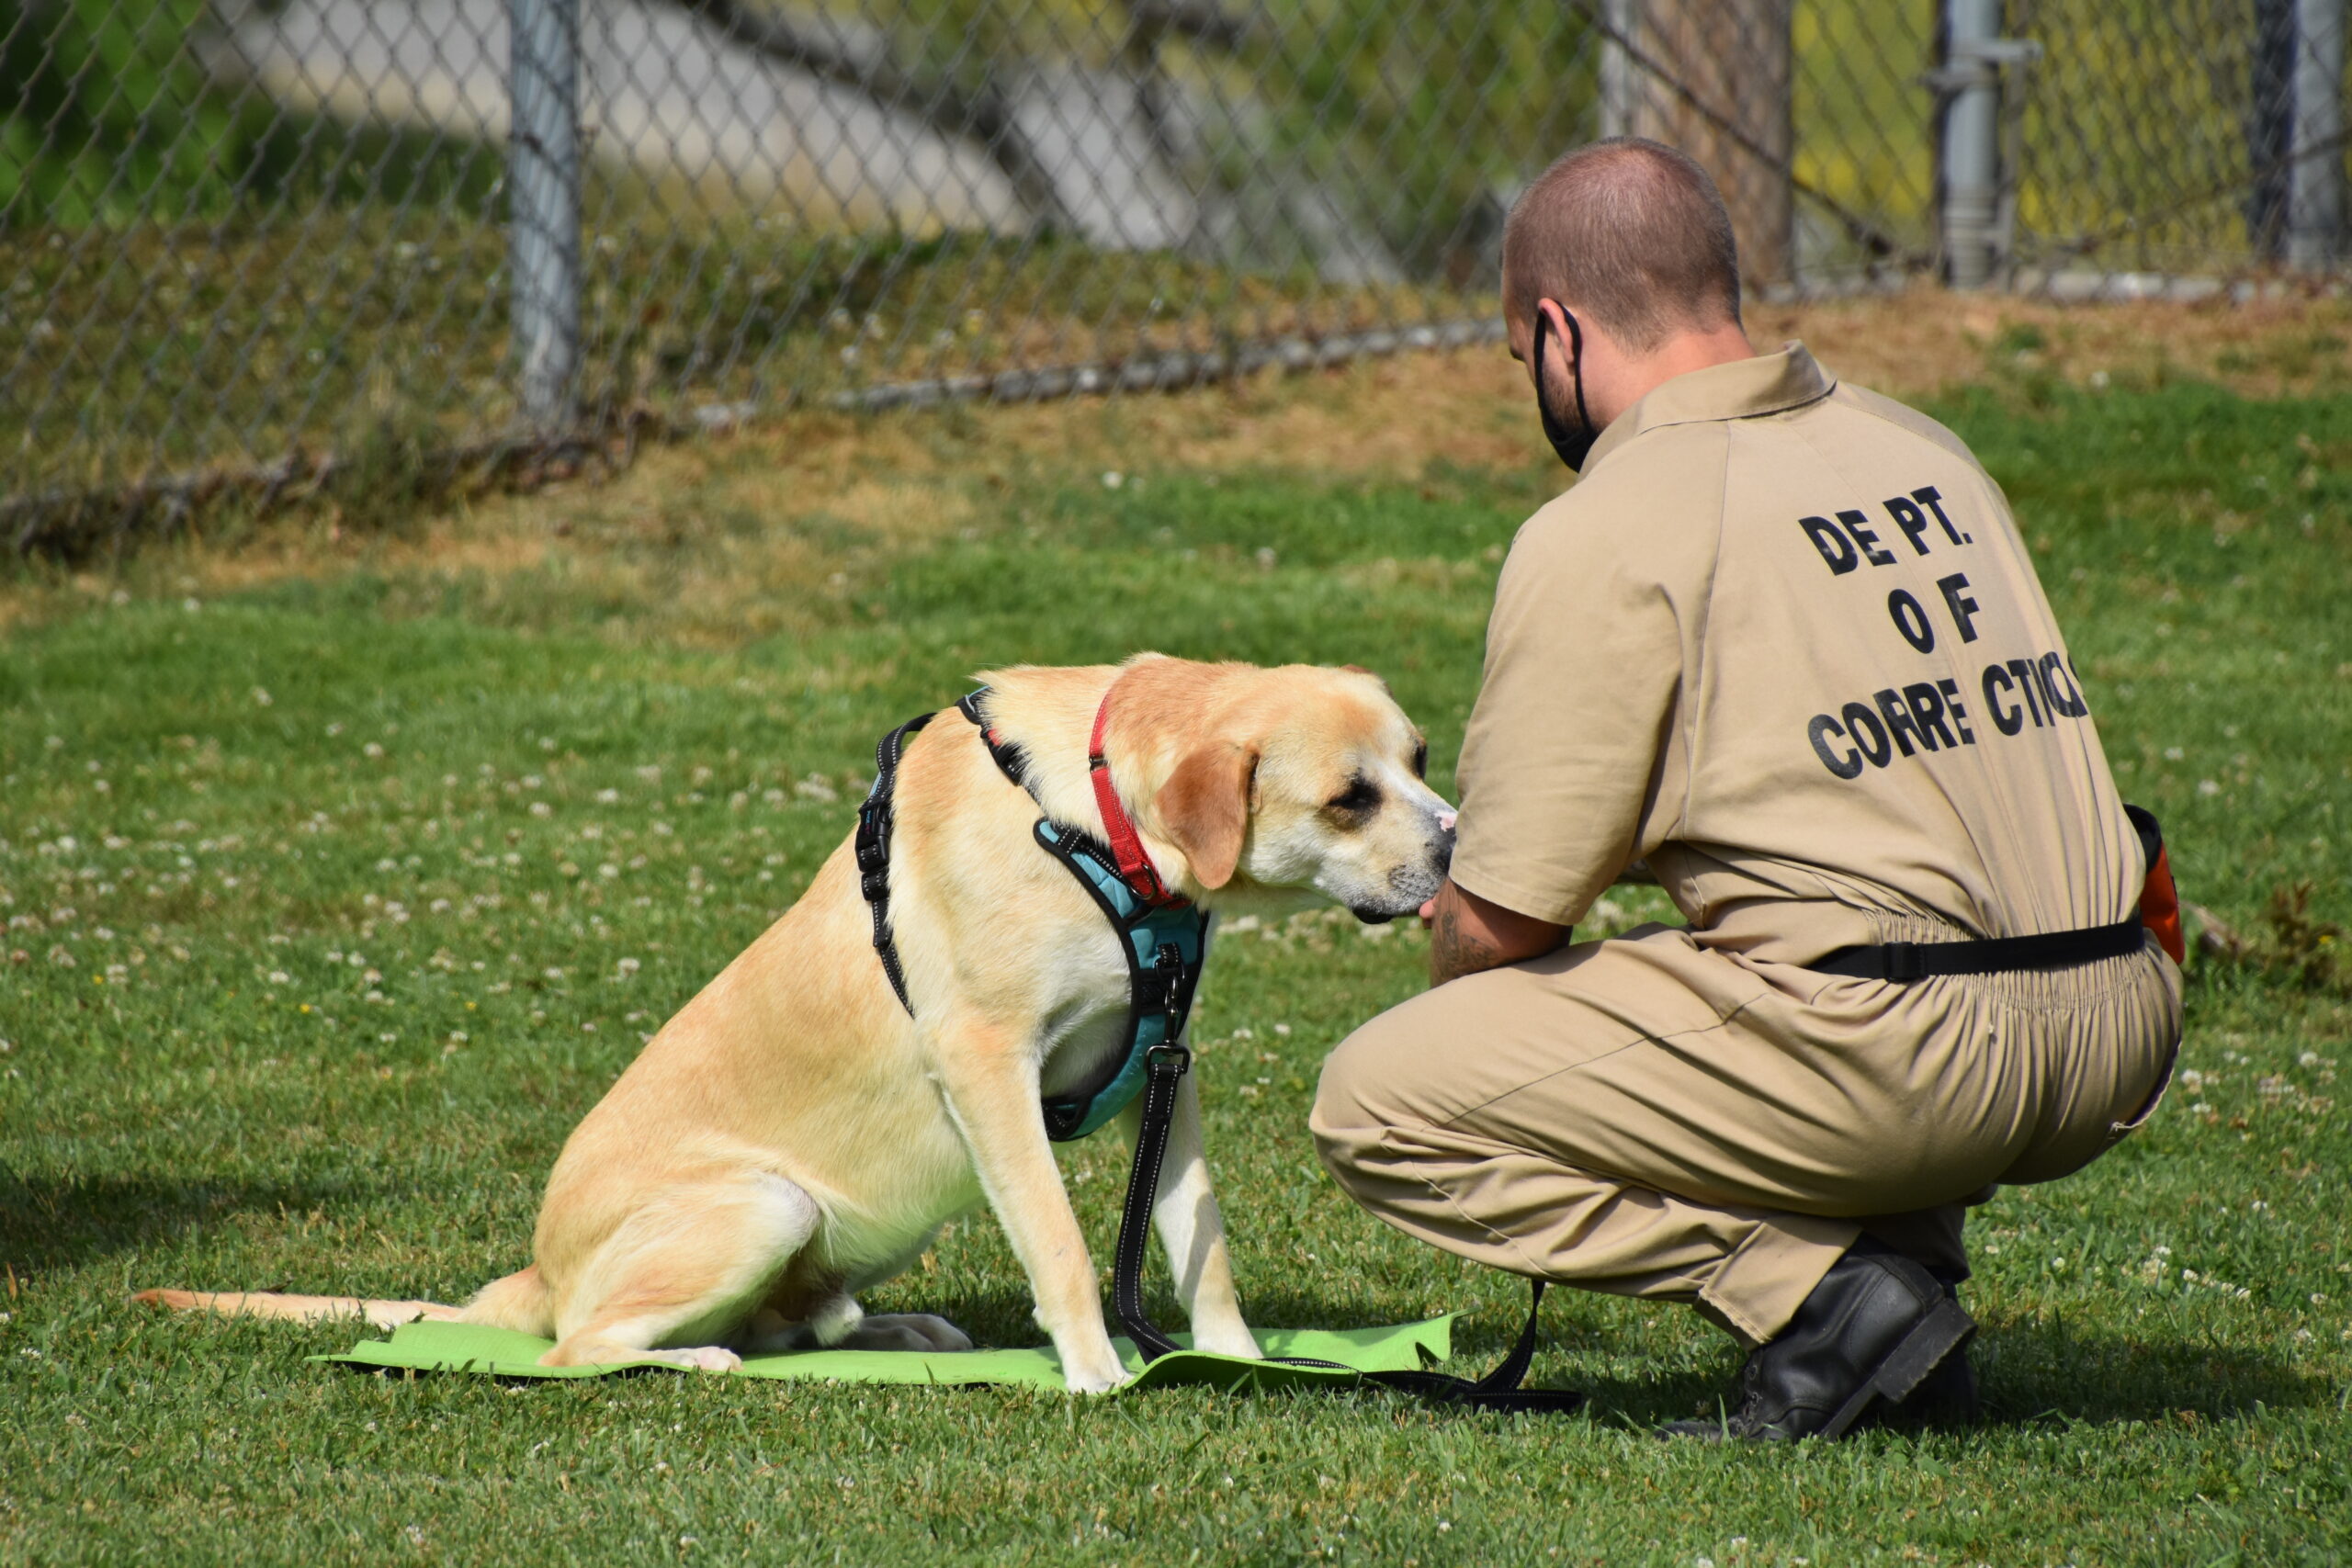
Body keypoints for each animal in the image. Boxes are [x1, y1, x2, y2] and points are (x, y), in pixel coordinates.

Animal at [147, 658, 1448, 1392]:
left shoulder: (1165, 1071)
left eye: (1420, 758)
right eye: (1349, 798)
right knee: (580, 1347)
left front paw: (1233, 1363)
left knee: (797, 1332)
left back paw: (898, 1335)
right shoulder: (990, 1067)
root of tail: (535, 1270)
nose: (1450, 841)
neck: (1094, 818)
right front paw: (1098, 1375)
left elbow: (1198, 1242)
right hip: (765, 1204)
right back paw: (695, 1360)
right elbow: (1070, 1249)